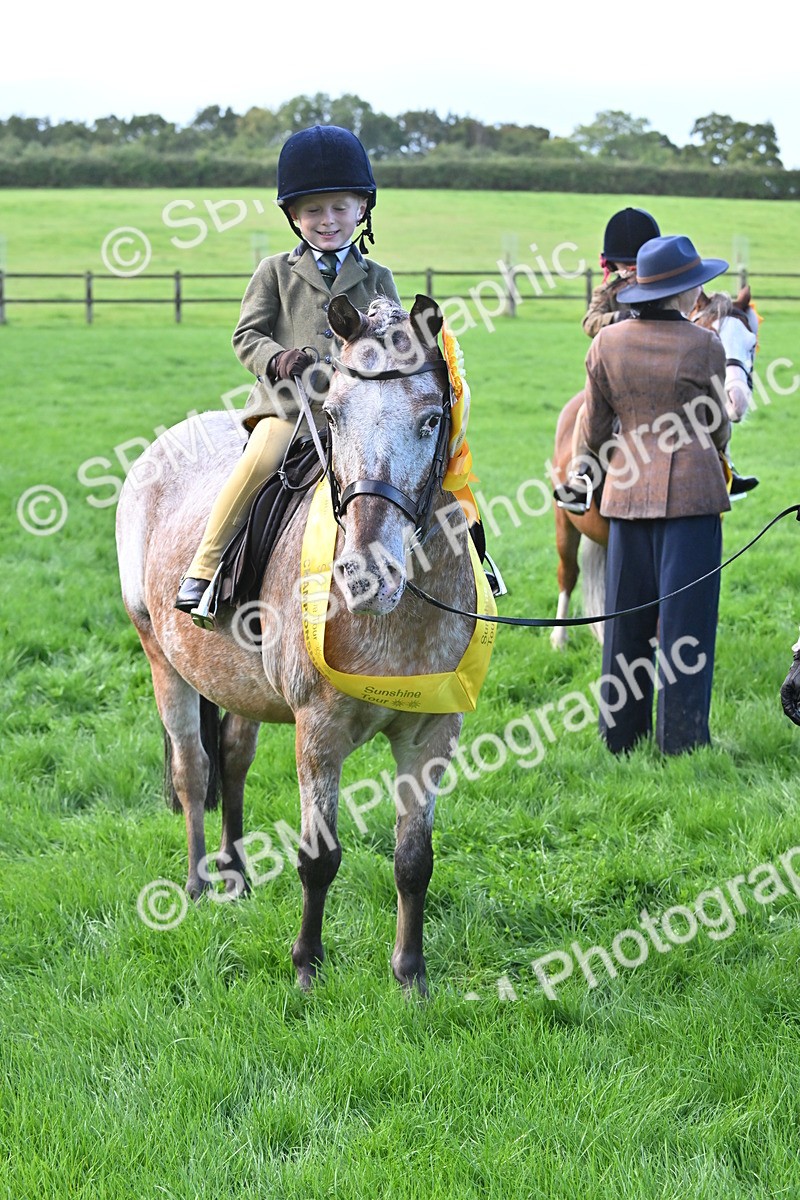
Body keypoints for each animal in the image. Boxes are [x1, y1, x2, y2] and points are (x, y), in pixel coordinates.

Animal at [115, 294, 483, 995]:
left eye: (430, 421)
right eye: (333, 415)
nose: (365, 575)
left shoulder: (430, 732)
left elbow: (413, 858)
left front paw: (410, 976)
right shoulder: (318, 731)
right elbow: (319, 856)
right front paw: (307, 965)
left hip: (239, 684)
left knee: (232, 760)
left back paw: (235, 874)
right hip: (162, 660)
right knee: (192, 768)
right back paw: (198, 884)